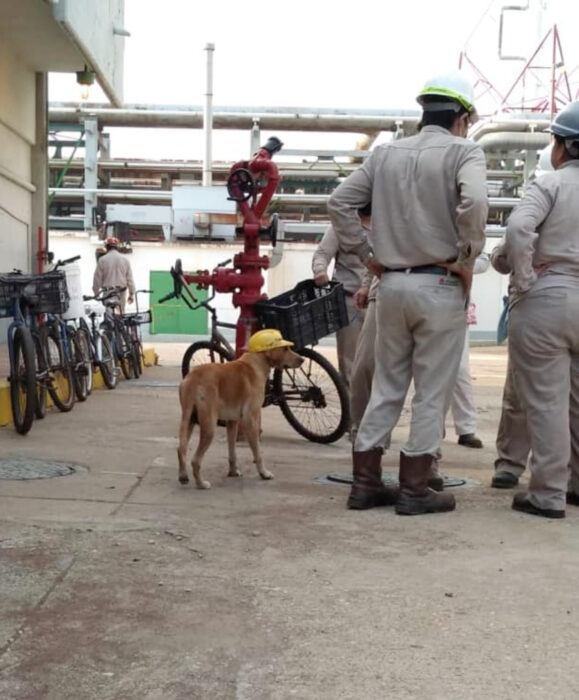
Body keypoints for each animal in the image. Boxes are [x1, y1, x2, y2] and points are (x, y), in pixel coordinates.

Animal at [177, 330, 304, 490]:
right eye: (285, 349)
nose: (302, 360)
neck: (257, 361)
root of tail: (192, 379)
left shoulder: (232, 422)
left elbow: (232, 452)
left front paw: (233, 471)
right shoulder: (251, 419)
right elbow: (257, 451)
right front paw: (263, 473)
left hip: (189, 419)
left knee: (181, 449)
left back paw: (183, 476)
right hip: (209, 426)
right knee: (195, 460)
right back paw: (201, 483)